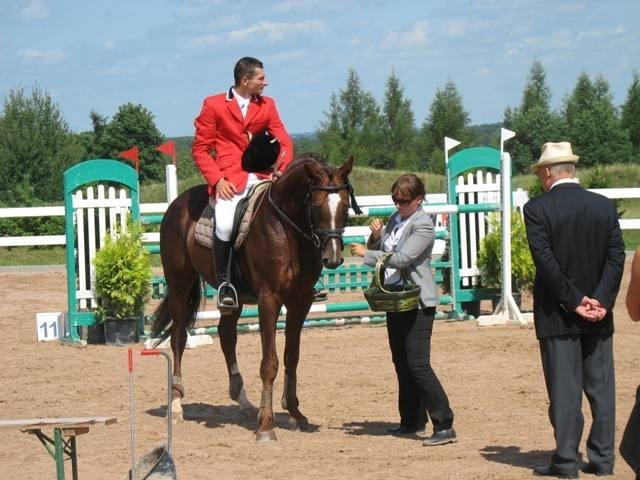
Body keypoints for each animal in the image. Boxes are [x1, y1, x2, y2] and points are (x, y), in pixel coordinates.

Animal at [151, 157, 356, 442]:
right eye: (315, 205)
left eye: (345, 205)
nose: (333, 257)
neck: (287, 229)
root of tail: (177, 203)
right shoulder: (269, 300)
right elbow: (270, 362)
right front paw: (267, 425)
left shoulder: (300, 302)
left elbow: (292, 357)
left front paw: (295, 413)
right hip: (180, 284)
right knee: (179, 338)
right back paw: (177, 403)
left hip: (232, 297)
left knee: (226, 335)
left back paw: (243, 400)